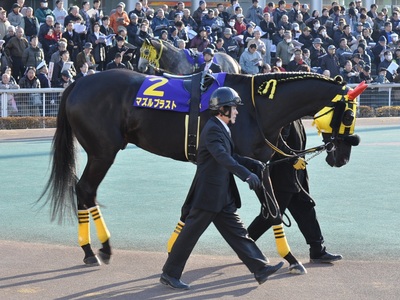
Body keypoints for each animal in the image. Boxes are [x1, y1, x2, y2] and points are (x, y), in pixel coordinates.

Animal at [39, 70, 366, 268]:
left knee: (86, 192)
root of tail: (78, 83)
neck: (255, 106)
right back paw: (97, 249)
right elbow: (271, 210)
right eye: (349, 115)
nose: (342, 156)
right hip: (102, 152)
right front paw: (289, 257)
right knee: (85, 190)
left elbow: (197, 207)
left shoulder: (249, 163)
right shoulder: (243, 162)